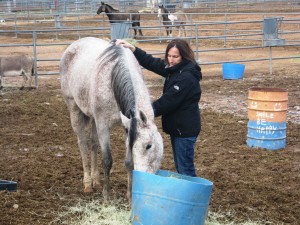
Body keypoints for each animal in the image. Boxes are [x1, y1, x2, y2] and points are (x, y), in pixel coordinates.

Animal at [59, 37, 164, 200]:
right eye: (148, 145)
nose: (144, 178)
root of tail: (74, 45)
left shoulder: (127, 127)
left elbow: (128, 162)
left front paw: (129, 195)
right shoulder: (103, 126)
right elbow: (107, 160)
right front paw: (106, 197)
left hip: (93, 119)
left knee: (93, 143)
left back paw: (95, 180)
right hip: (74, 110)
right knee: (83, 145)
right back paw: (88, 183)